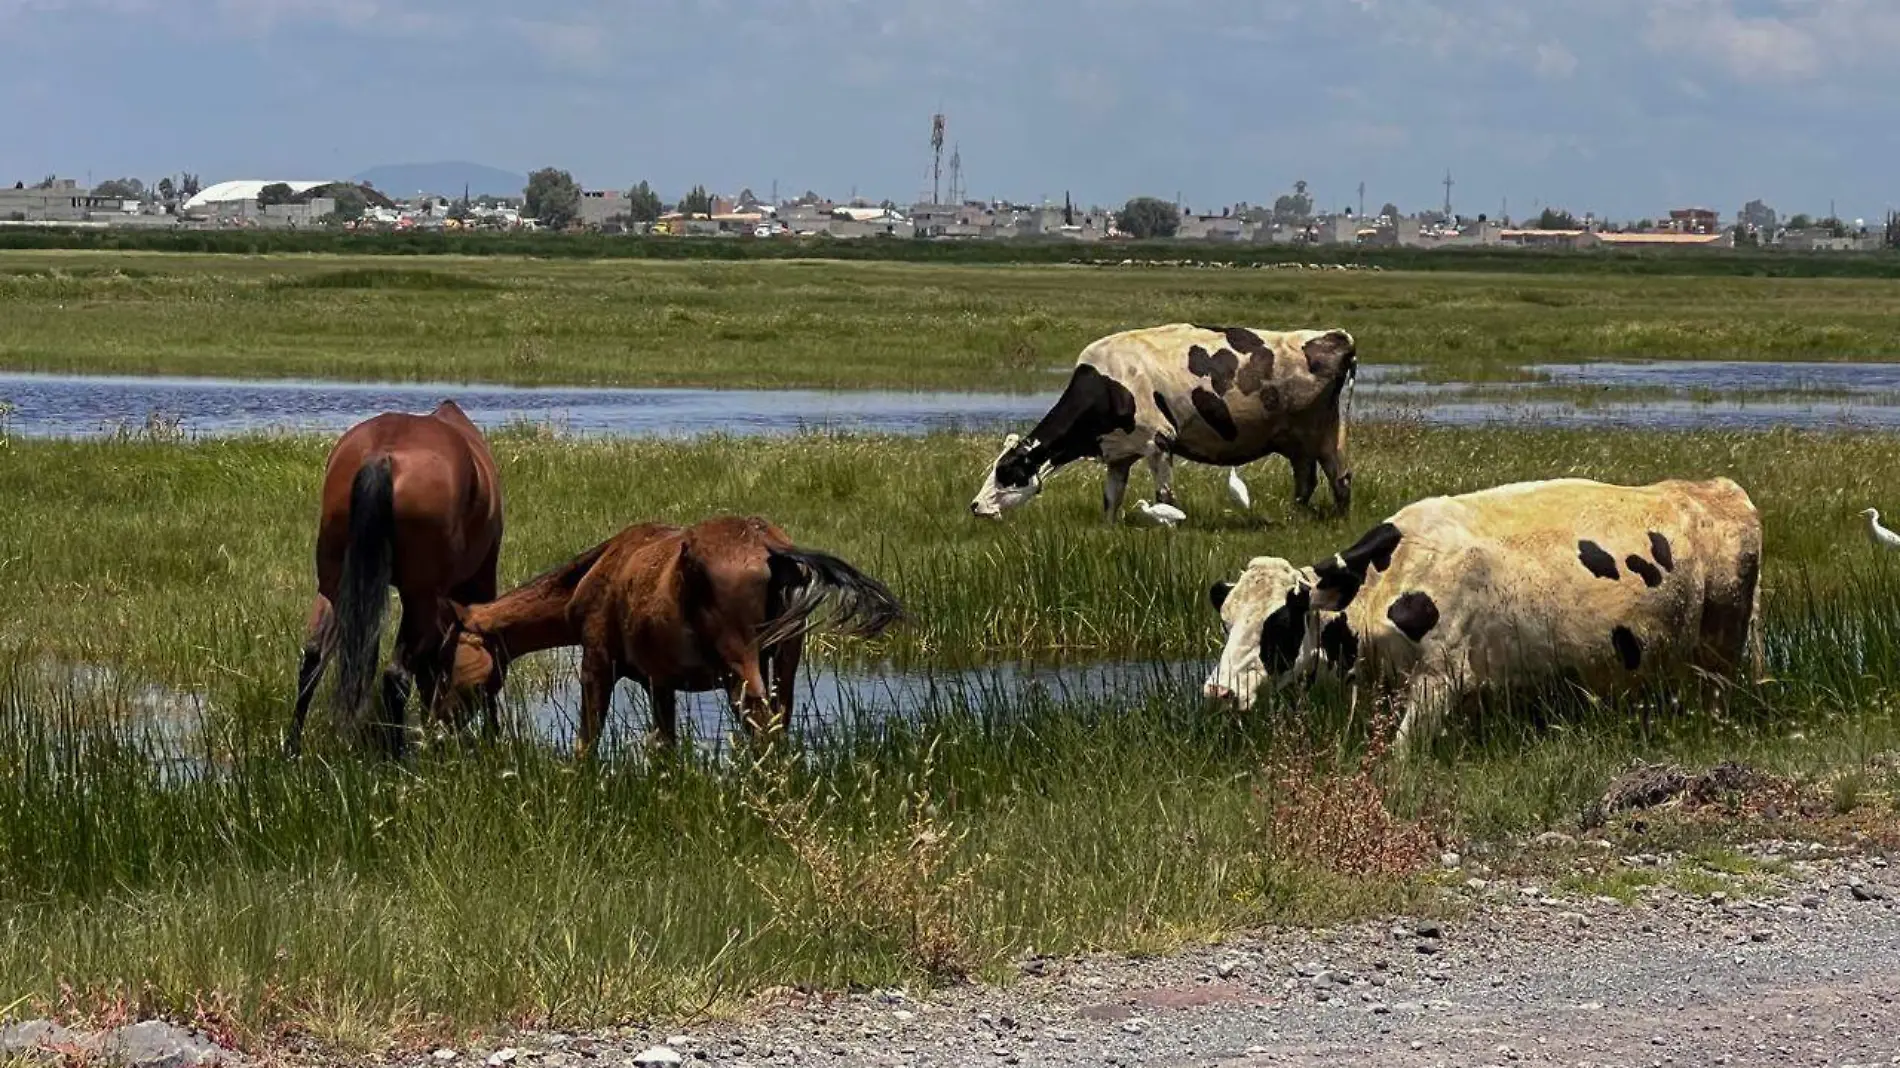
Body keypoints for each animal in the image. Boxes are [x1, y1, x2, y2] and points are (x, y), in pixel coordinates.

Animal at [283, 399, 505, 756]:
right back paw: (398, 755)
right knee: (395, 675)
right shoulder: (480, 582)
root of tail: (382, 456)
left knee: (314, 658)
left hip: (333, 586)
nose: (444, 725)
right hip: (420, 599)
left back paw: (292, 747)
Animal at [435, 513, 900, 748]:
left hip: (742, 666)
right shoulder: (659, 681)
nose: (436, 721)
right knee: (780, 723)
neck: (588, 582)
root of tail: (772, 547)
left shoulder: (596, 664)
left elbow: (587, 739)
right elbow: (666, 746)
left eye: (447, 657)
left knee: (759, 725)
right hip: (785, 659)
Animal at [972, 319, 1360, 520]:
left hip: (1316, 431)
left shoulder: (1158, 440)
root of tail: (1338, 336)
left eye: (1006, 471)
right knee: (1315, 479)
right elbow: (1111, 498)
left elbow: (1165, 495)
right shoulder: (1118, 452)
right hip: (1304, 437)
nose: (974, 505)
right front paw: (1110, 527)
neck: (1109, 382)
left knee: (1333, 477)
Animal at [1200, 478, 1763, 752]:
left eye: (1279, 622)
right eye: (1227, 622)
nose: (1218, 691)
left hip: (1720, 649)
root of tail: (1715, 488)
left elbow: (1398, 755)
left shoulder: (1439, 680)